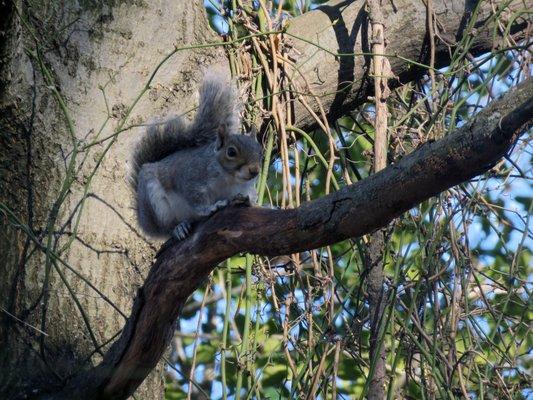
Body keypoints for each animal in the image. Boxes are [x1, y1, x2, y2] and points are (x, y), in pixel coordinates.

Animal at [129, 74, 262, 239]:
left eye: (260, 152)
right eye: (231, 152)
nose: (255, 171)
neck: (229, 178)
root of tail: (143, 219)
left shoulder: (245, 187)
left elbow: (250, 196)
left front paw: (249, 201)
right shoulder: (191, 178)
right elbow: (196, 200)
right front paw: (212, 207)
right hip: (155, 203)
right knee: (165, 228)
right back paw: (178, 228)